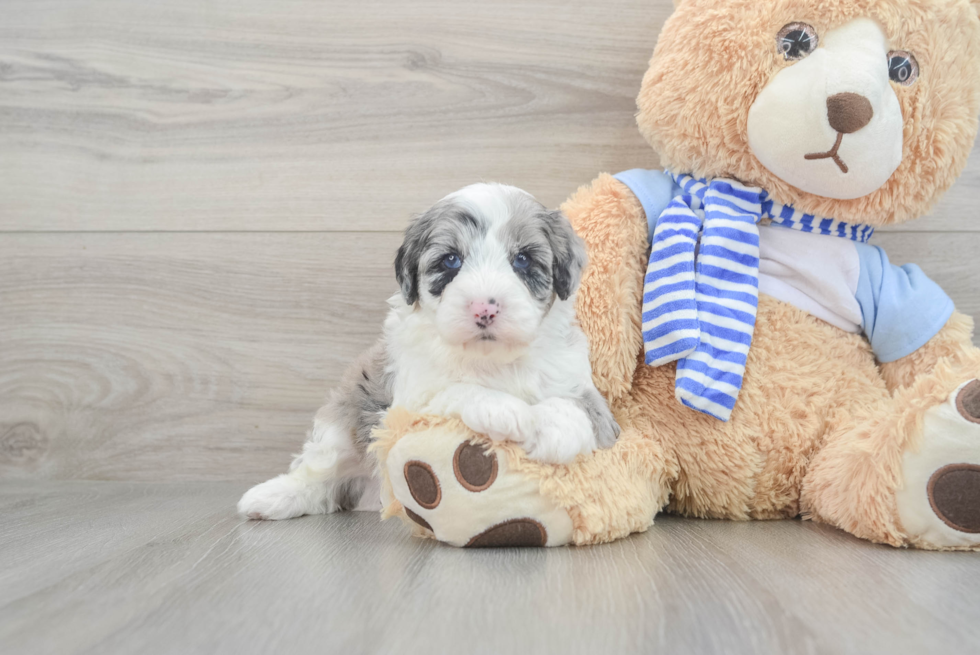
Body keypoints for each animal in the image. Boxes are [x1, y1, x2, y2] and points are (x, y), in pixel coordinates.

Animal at [237, 182, 616, 520]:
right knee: (319, 473)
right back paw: (271, 497)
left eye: (522, 259)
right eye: (451, 260)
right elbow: (456, 390)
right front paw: (503, 410)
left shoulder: (575, 379)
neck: (492, 361)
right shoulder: (410, 400)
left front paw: (559, 427)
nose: (484, 308)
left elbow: (582, 408)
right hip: (342, 423)